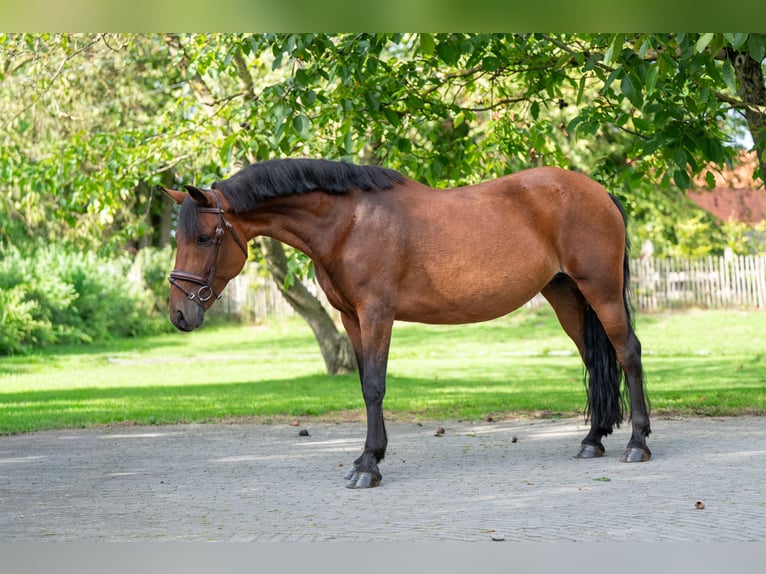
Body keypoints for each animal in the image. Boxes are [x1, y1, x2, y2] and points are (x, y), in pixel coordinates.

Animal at [163, 158, 651, 489]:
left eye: (203, 238)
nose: (179, 314)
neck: (349, 223)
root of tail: (600, 192)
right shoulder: (351, 318)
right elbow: (365, 383)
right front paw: (368, 458)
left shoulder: (377, 313)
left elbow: (374, 386)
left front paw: (367, 466)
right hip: (566, 294)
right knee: (595, 359)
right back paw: (593, 439)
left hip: (601, 291)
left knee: (627, 353)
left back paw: (637, 444)